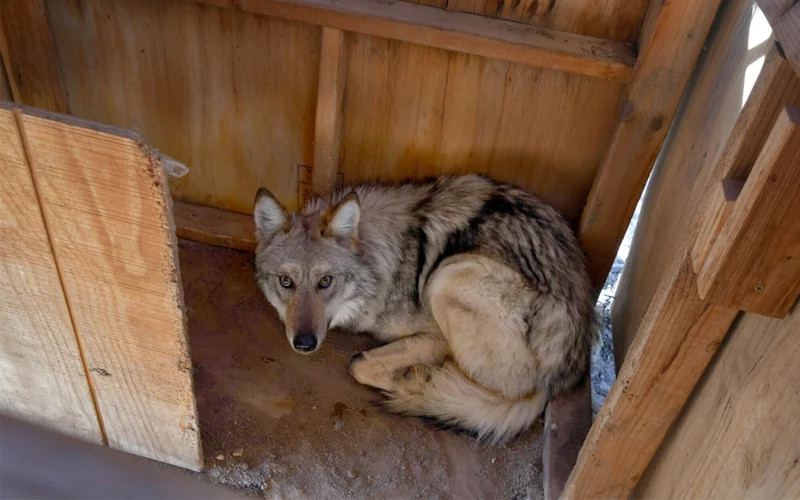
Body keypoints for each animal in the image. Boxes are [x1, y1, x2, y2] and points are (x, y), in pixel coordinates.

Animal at [253, 174, 597, 443]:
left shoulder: (436, 334)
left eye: (325, 281)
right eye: (286, 281)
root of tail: (558, 380)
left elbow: (359, 365)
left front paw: (408, 374)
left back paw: (420, 382)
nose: (304, 343)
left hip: (447, 276)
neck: (383, 259)